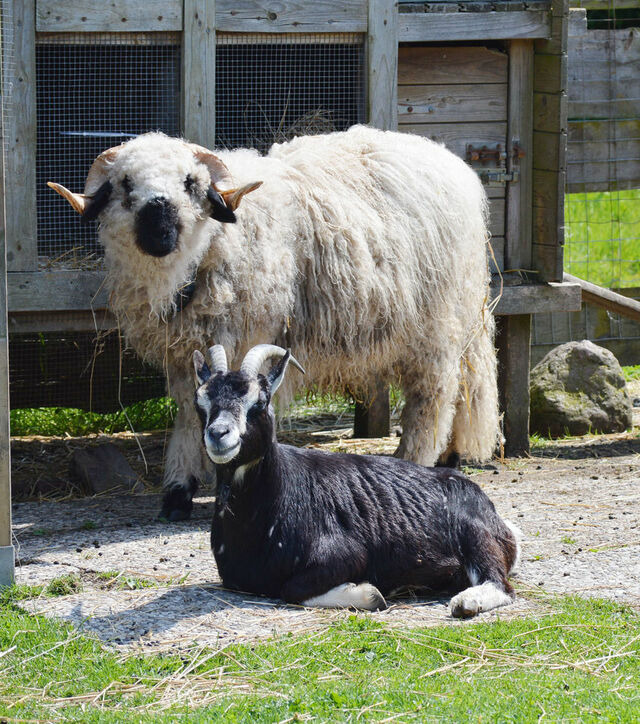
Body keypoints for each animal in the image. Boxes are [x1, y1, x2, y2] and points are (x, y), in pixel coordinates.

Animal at [50, 124, 500, 520]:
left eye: (190, 183)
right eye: (125, 184)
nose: (160, 229)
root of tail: (451, 162)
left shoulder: (247, 335)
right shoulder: (182, 354)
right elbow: (189, 413)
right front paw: (178, 490)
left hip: (435, 324)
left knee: (434, 395)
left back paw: (414, 459)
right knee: (464, 385)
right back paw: (451, 455)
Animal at [194, 342, 520, 612]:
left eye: (259, 403)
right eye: (201, 405)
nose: (219, 435)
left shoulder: (346, 554)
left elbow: (292, 588)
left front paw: (370, 594)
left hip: (475, 534)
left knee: (501, 584)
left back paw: (466, 602)